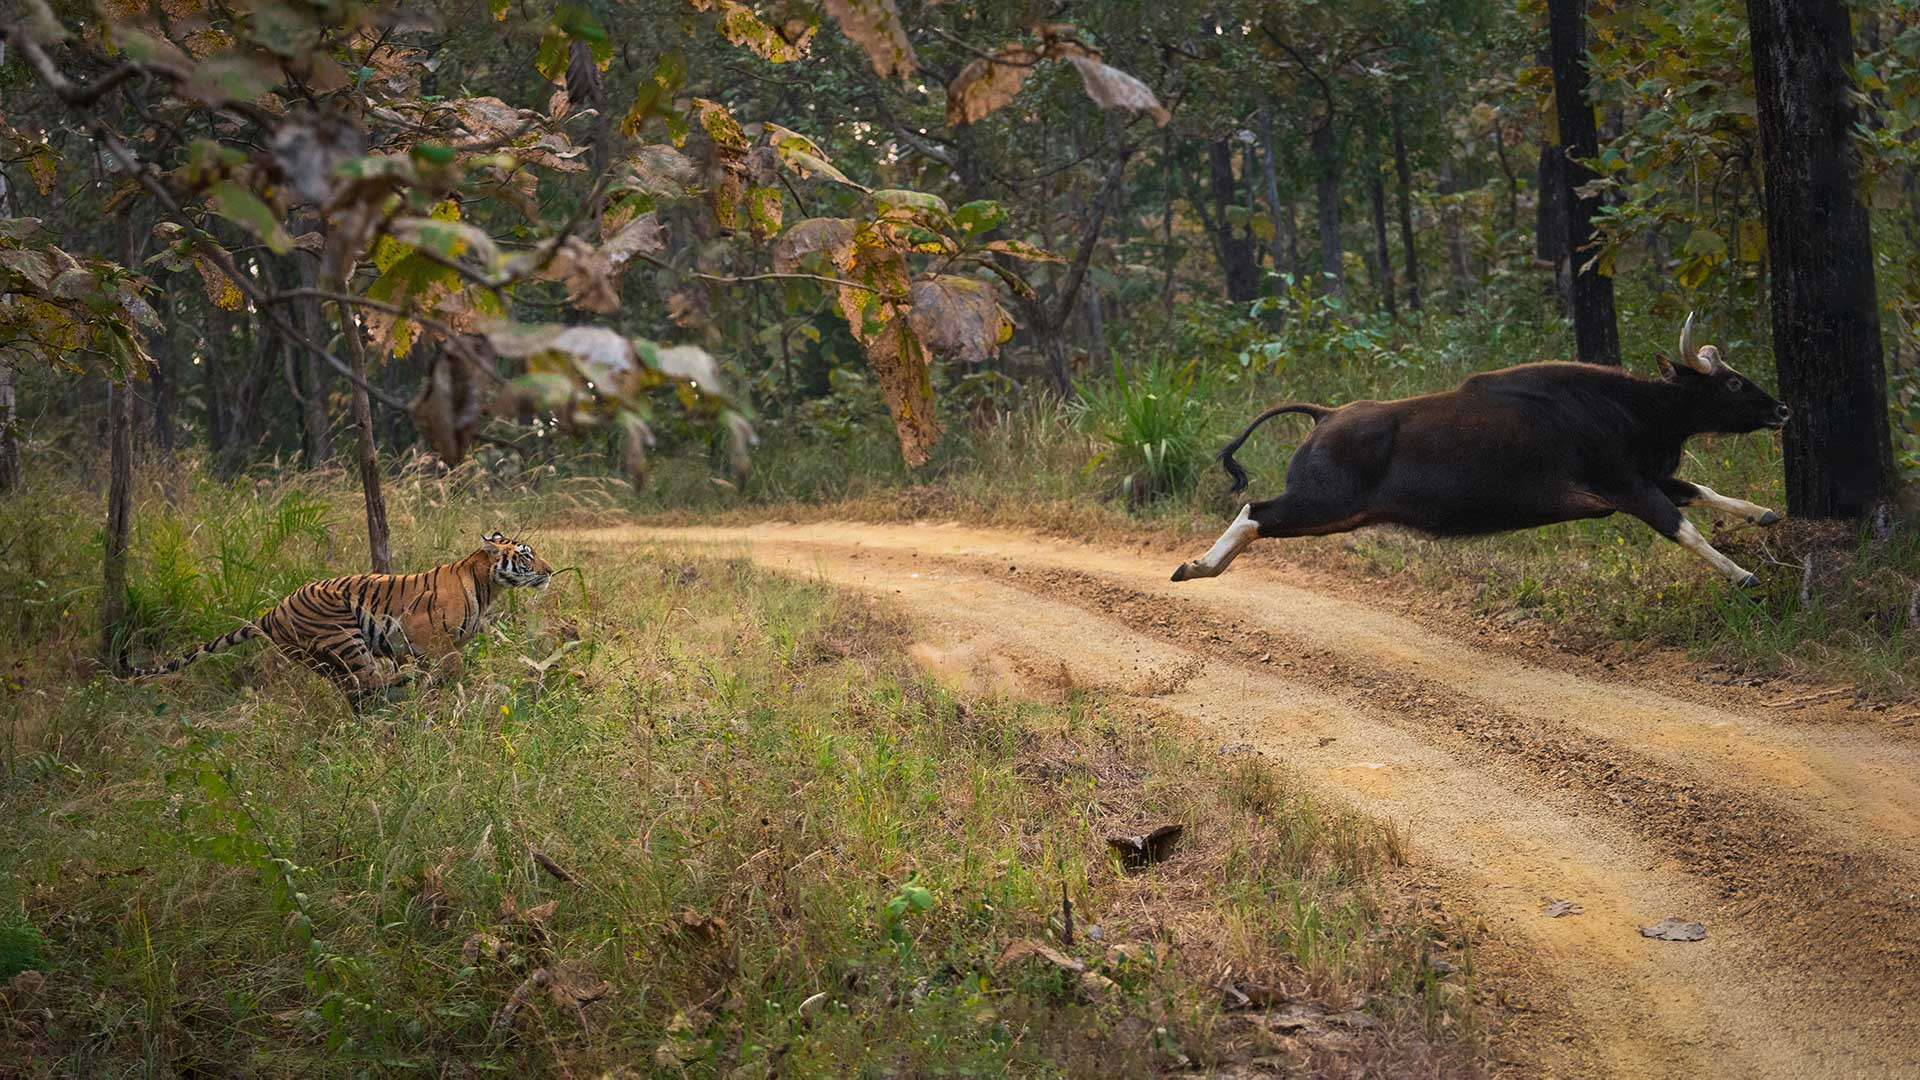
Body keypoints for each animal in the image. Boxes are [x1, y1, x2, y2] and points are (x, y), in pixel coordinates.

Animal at [130, 532, 554, 701]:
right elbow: (452, 666)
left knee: (355, 689)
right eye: (526, 556)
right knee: (368, 682)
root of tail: (271, 611)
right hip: (344, 635)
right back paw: (399, 690)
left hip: (318, 657)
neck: (488, 585)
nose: (551, 570)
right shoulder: (426, 634)